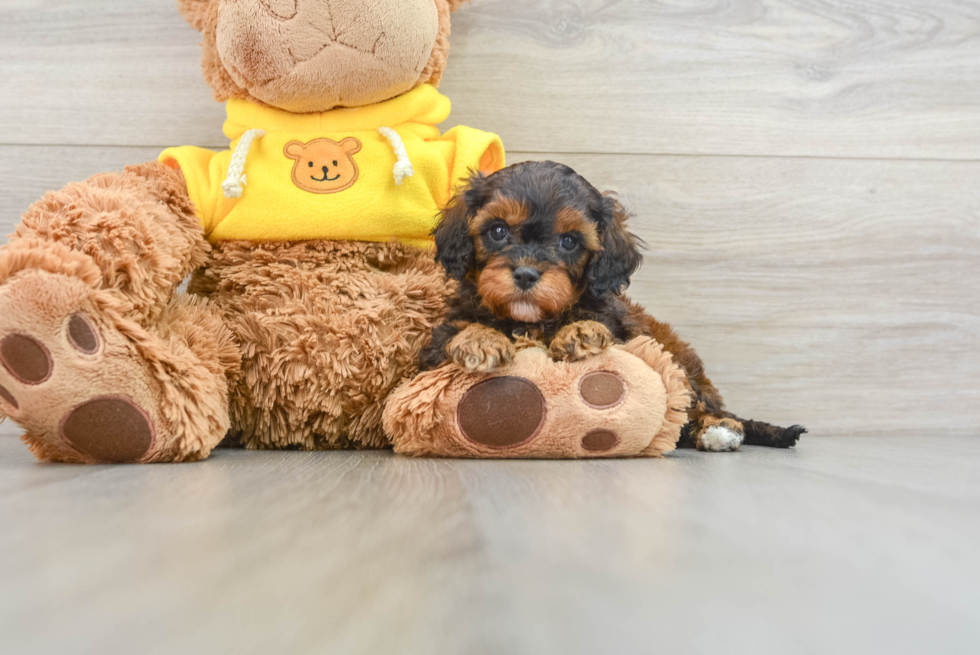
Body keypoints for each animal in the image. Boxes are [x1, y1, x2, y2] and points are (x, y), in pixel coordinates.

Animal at [422, 163, 804, 452]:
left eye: (569, 241)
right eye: (498, 230)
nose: (527, 274)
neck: (532, 321)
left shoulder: (627, 339)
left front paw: (580, 330)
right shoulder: (430, 350)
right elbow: (453, 332)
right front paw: (480, 339)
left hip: (680, 365)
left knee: (696, 406)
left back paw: (718, 429)